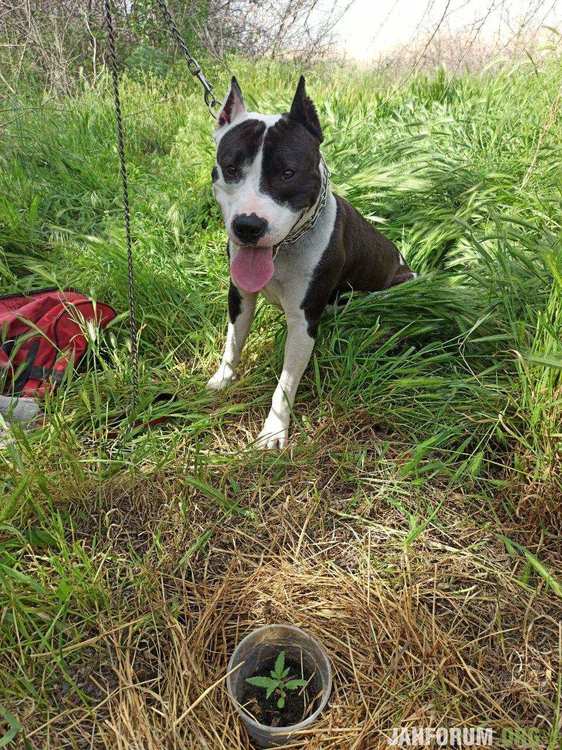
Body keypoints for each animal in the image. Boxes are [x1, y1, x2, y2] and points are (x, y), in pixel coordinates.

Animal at [206, 78, 412, 450]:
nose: (248, 226)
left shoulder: (303, 322)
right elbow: (233, 341)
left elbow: (285, 383)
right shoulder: (240, 295)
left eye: (288, 173)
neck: (287, 248)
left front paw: (273, 431)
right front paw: (223, 378)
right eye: (230, 169)